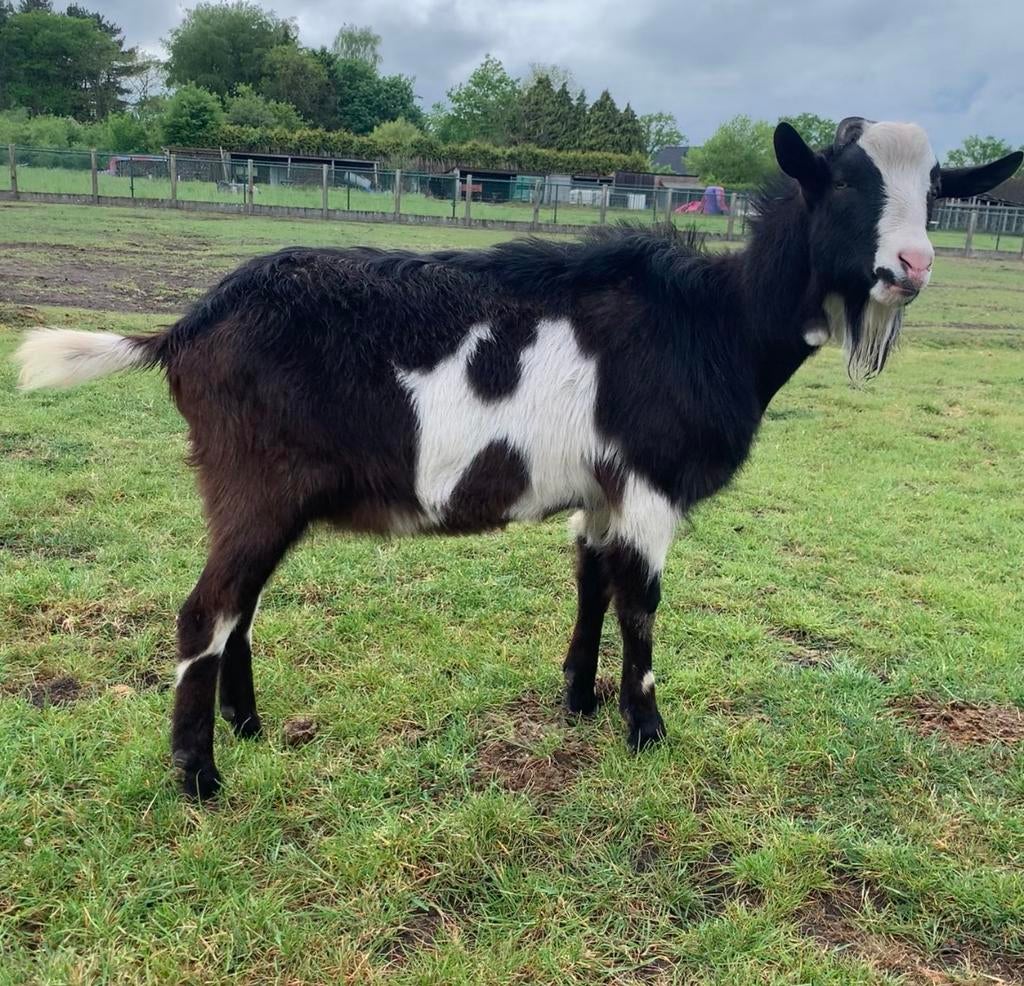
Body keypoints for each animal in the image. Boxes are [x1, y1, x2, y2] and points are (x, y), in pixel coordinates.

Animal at [15, 119, 1021, 799]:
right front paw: (647, 730)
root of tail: (186, 328)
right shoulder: (650, 481)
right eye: (844, 186)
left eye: (935, 189)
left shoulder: (603, 487)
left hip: (260, 497)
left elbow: (593, 581)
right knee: (205, 613)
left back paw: (250, 727)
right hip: (256, 481)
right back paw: (199, 779)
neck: (716, 322)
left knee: (240, 609)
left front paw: (578, 701)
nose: (912, 264)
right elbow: (643, 604)